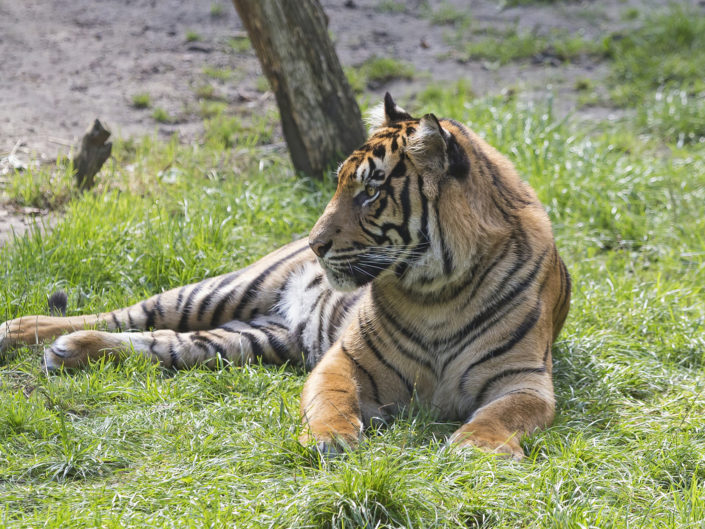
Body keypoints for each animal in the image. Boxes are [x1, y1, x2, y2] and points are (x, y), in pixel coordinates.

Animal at [0, 93, 570, 460]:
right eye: (339, 183)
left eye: (370, 192)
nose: (315, 244)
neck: (439, 291)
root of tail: (285, 315)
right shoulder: (345, 359)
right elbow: (331, 400)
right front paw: (330, 440)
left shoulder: (523, 379)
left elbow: (502, 415)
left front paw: (478, 447)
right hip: (218, 291)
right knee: (131, 313)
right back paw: (23, 333)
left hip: (243, 341)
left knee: (160, 342)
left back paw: (69, 351)